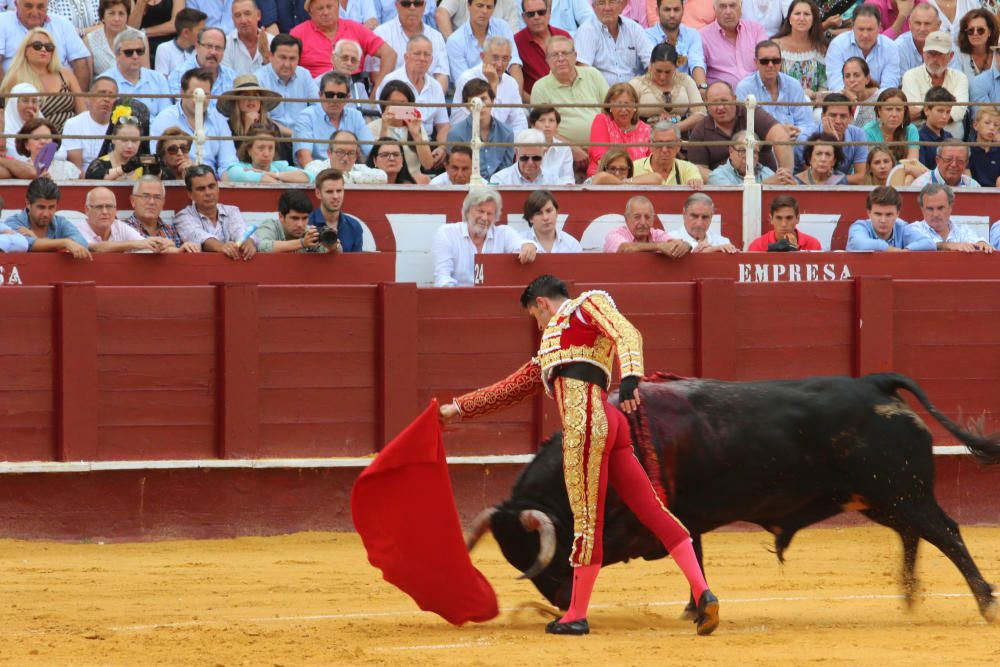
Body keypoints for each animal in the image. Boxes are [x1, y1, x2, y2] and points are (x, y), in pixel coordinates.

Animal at [466, 374, 1000, 624]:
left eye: (543, 558)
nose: (558, 602)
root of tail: (875, 382)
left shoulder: (645, 522)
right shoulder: (684, 517)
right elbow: (695, 554)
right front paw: (694, 607)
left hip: (902, 491)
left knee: (946, 533)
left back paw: (983, 601)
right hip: (881, 497)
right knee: (916, 535)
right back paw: (910, 596)